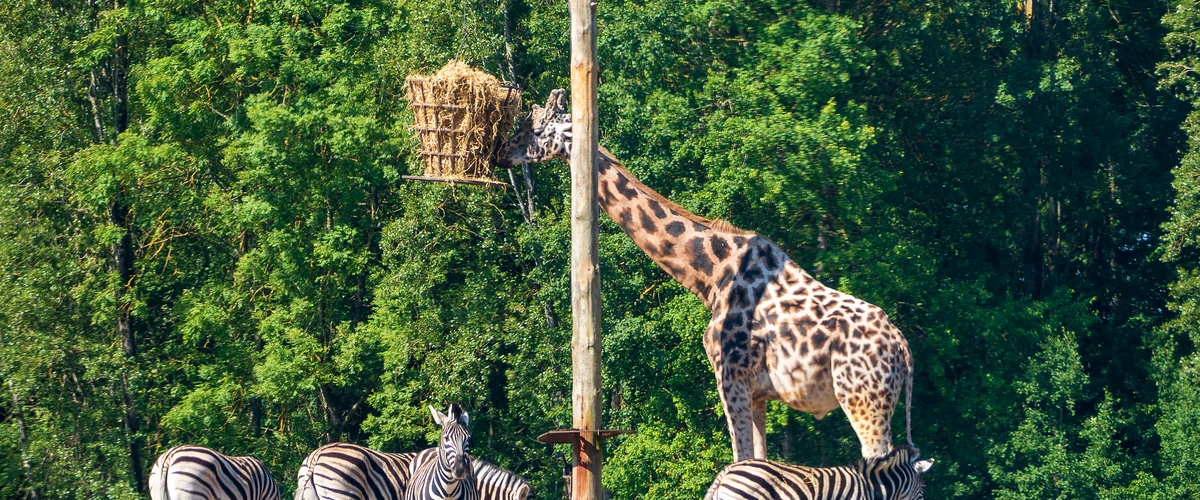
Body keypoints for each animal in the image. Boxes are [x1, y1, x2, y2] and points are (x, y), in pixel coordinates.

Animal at [499, 89, 916, 460]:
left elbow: (739, 462)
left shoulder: (730, 376)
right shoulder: (758, 392)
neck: (711, 276)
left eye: (536, 128)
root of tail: (903, 350)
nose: (502, 151)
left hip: (862, 399)